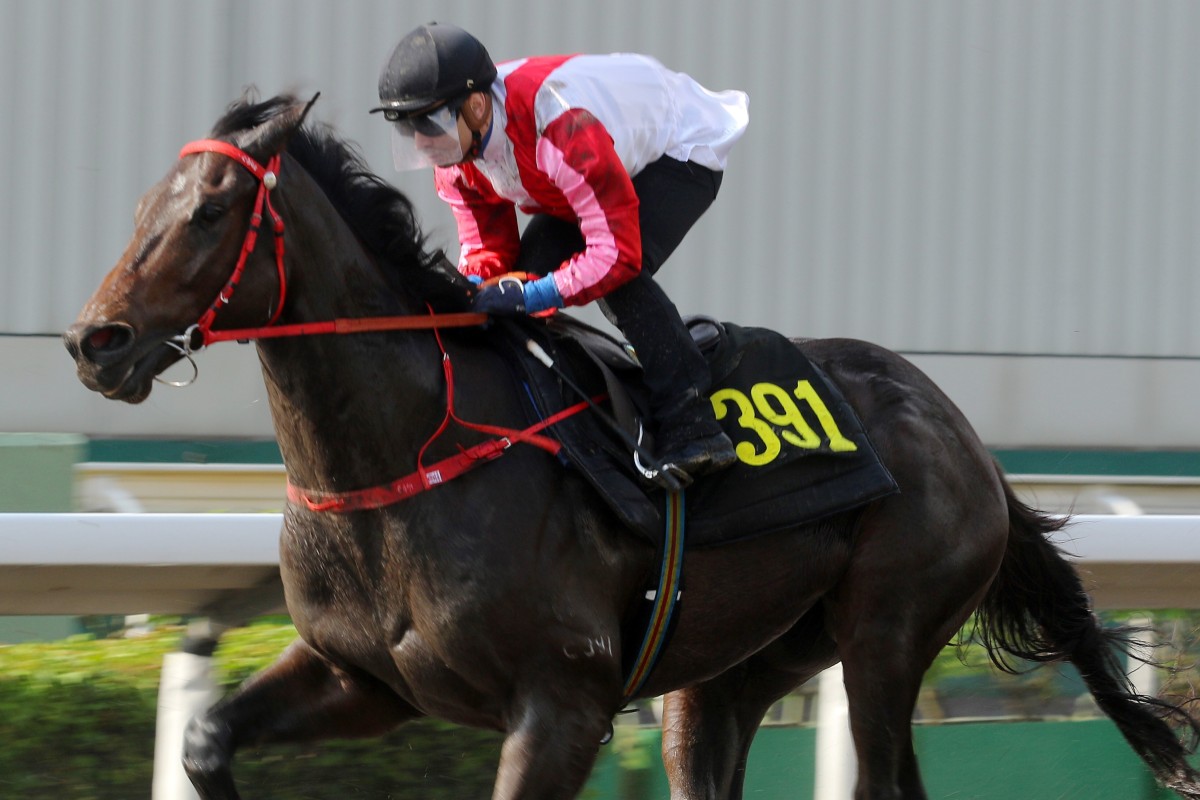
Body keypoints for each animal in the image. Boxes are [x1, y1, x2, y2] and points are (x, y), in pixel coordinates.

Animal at [63, 94, 1200, 800]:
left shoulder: (559, 705)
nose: (93, 341)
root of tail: (964, 433)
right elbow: (206, 737)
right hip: (735, 667)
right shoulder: (363, 682)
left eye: (211, 212)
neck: (400, 462)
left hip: (887, 627)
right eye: (142, 206)